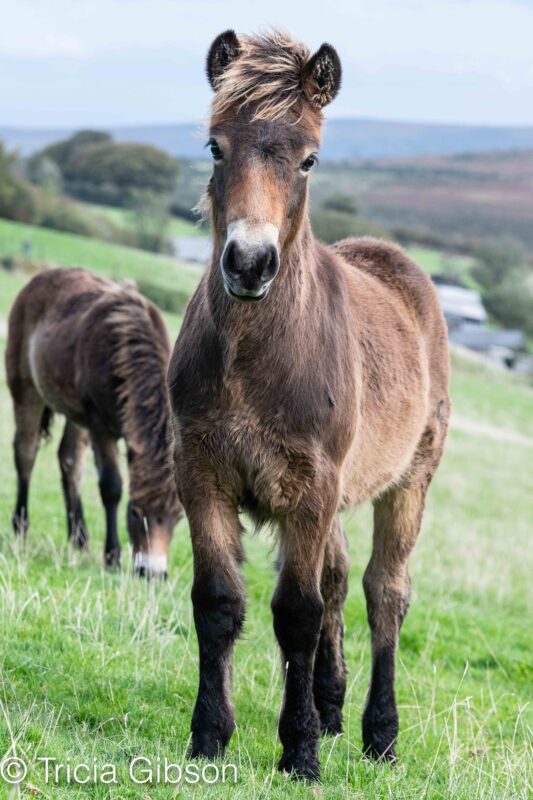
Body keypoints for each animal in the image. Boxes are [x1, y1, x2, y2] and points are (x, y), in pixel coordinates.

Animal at [6, 267, 181, 577]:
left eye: (178, 518)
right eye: (135, 512)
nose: (153, 573)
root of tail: (42, 276)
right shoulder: (100, 425)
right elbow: (111, 486)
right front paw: (112, 556)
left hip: (75, 413)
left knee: (69, 460)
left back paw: (79, 538)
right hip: (26, 388)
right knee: (25, 452)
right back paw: (21, 526)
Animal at [168, 30, 450, 779]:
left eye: (309, 158)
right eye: (215, 146)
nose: (248, 263)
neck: (254, 358)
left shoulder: (310, 489)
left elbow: (296, 610)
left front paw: (297, 752)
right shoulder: (201, 474)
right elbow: (219, 602)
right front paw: (209, 737)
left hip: (408, 481)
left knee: (384, 593)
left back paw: (379, 734)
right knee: (340, 576)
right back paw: (330, 708)